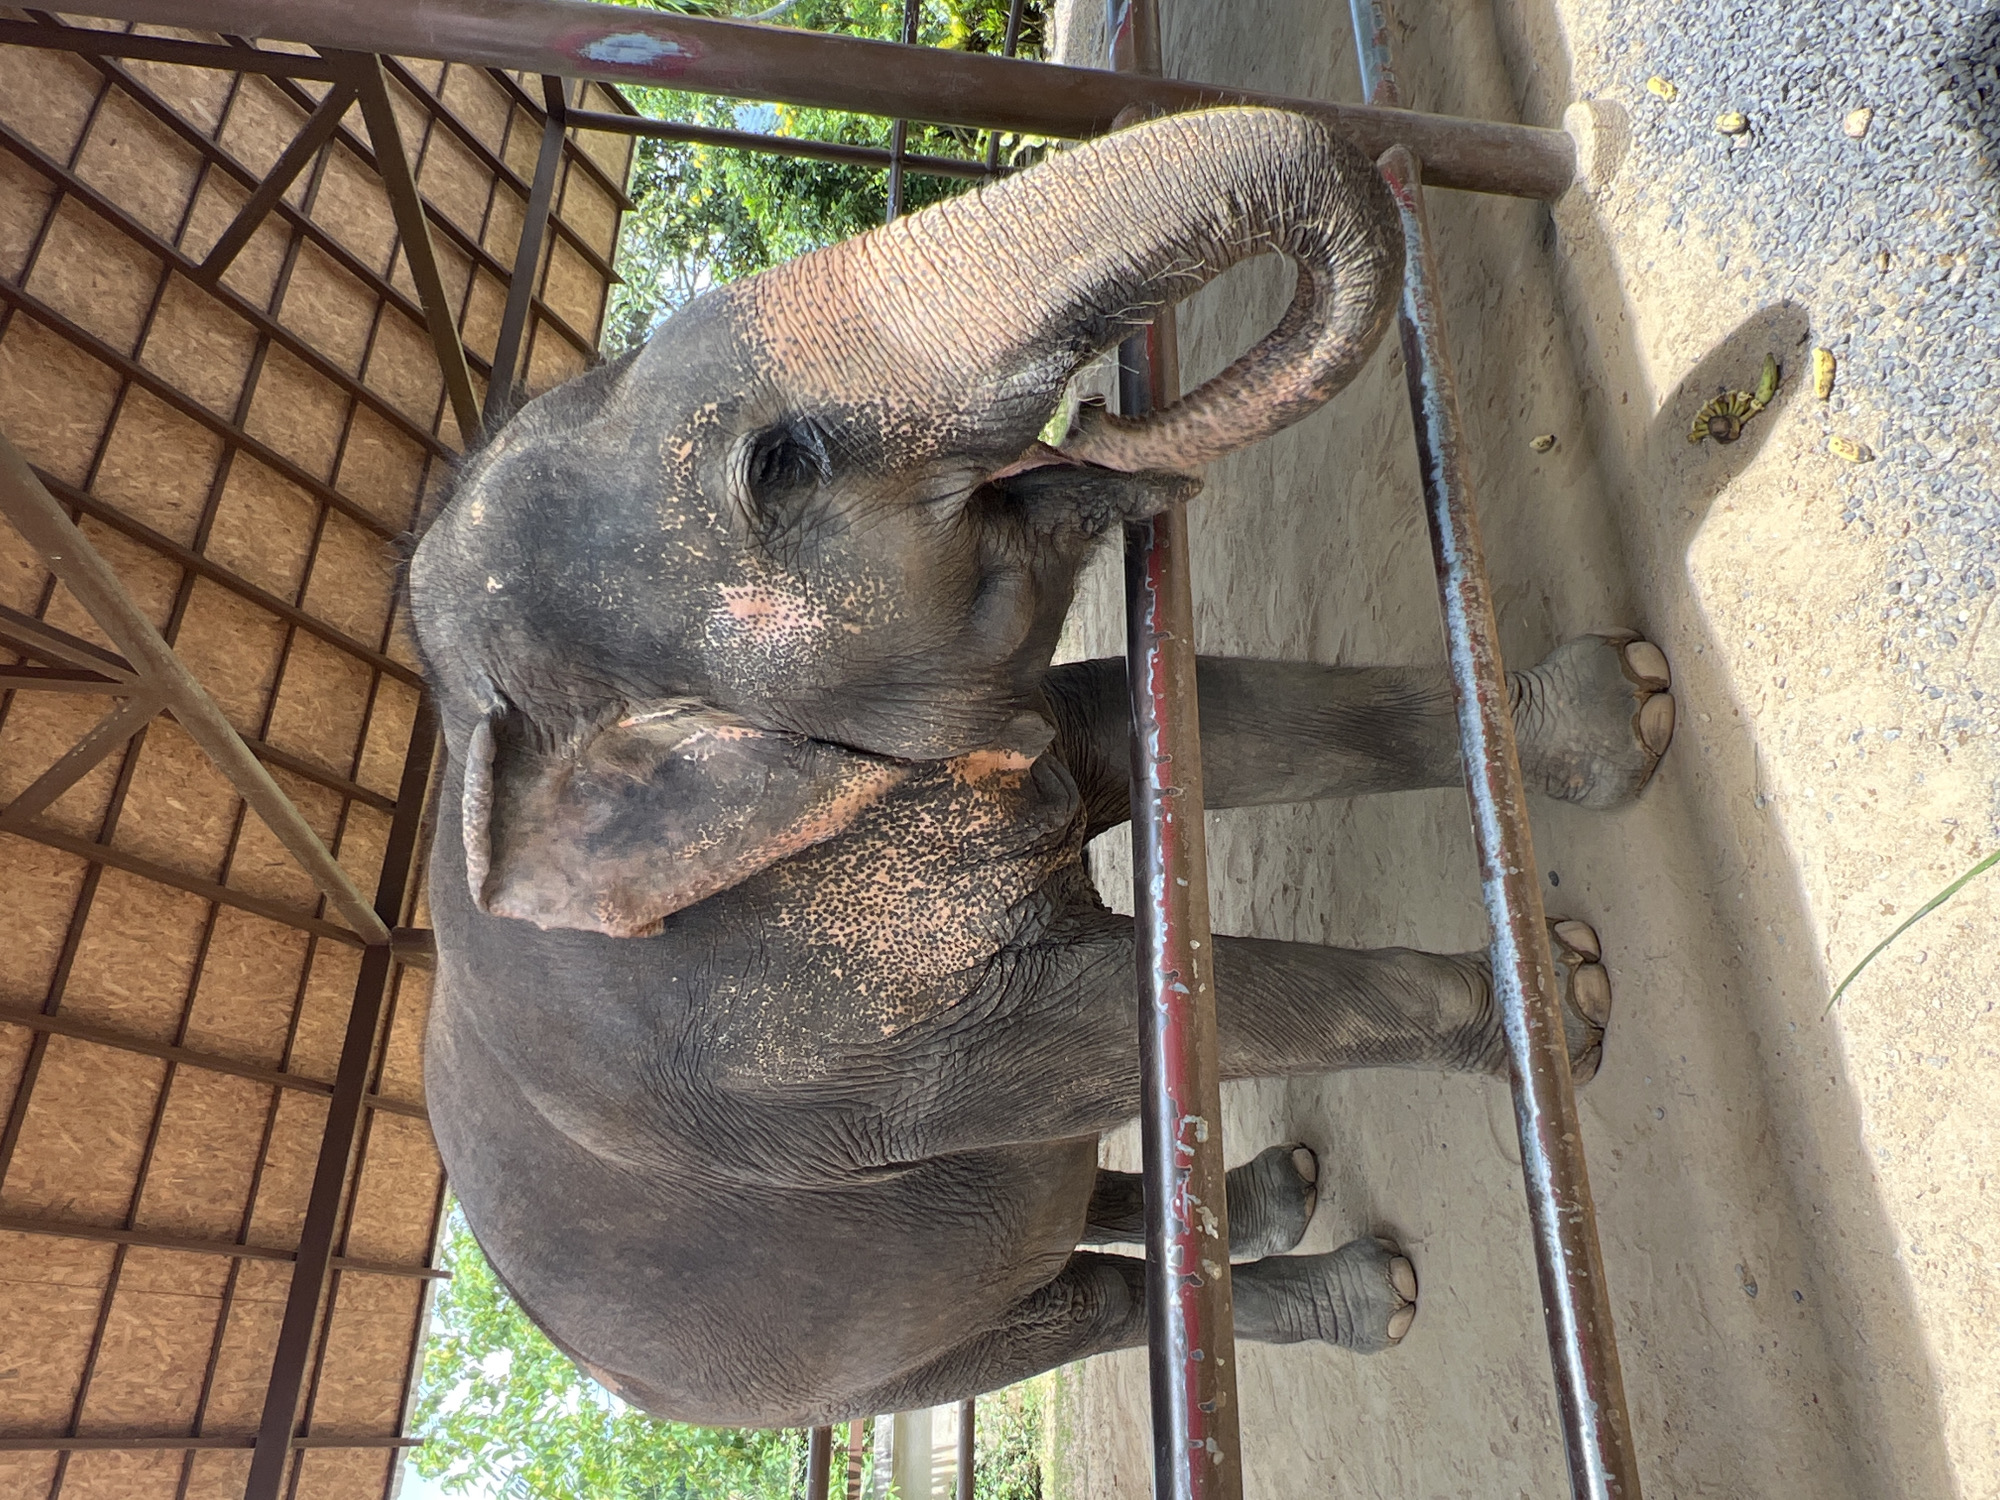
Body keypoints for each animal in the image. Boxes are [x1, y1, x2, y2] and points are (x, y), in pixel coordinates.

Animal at [406, 106, 1674, 1428]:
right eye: (779, 468)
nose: (1100, 418)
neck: (488, 745)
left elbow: (1176, 718)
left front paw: (1625, 709)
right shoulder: (808, 1050)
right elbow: (1099, 1028)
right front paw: (1570, 1002)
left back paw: (1274, 1197)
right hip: (859, 1372)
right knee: (1079, 1307)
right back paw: (1371, 1296)